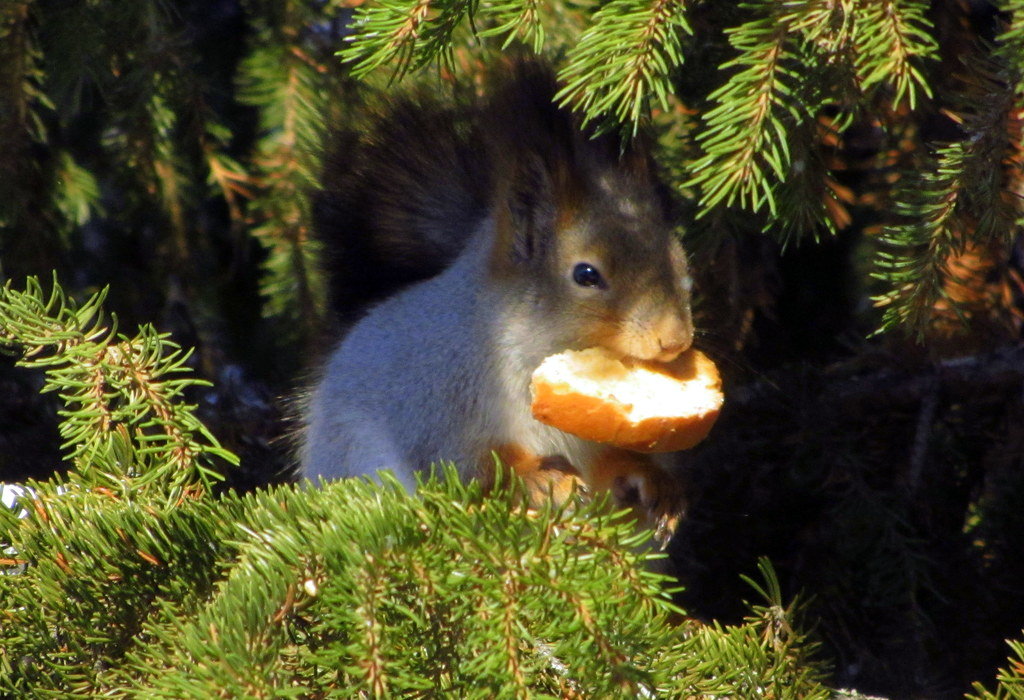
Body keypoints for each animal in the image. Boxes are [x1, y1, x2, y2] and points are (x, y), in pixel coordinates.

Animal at [299, 62, 692, 536]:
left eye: (679, 258)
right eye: (586, 275)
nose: (674, 339)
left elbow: (612, 463)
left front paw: (653, 482)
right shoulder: (432, 400)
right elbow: (468, 463)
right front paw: (539, 479)